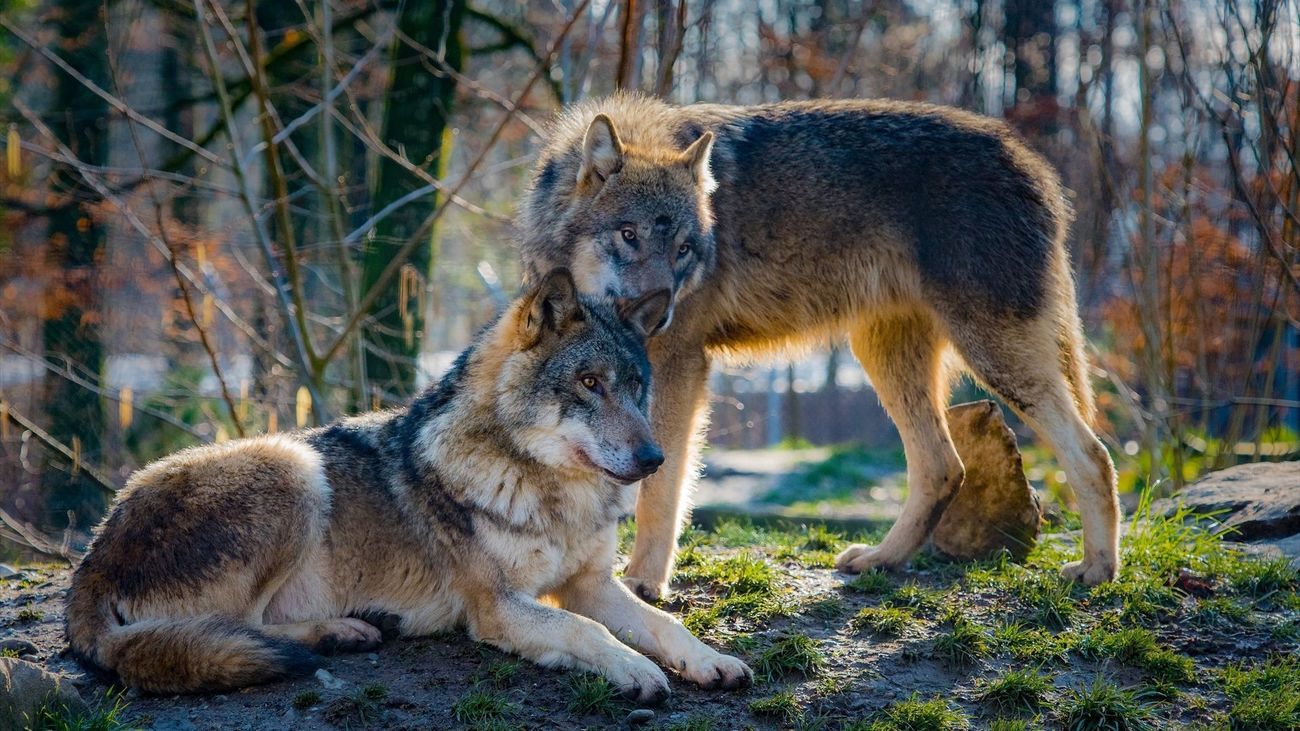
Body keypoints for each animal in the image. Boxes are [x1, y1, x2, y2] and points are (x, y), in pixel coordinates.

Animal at [64, 269, 752, 697]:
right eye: (588, 383)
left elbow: (663, 624)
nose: (654, 457)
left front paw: (710, 660)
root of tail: (93, 555)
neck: (551, 493)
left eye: (635, 386)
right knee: (238, 628)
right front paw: (636, 671)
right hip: (294, 467)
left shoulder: (589, 583)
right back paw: (340, 631)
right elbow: (589, 632)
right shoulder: (496, 607)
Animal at [518, 95, 1120, 601]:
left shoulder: (678, 365)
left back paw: (1097, 570)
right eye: (629, 235)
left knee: (1092, 454)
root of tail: (1034, 164)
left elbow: (660, 486)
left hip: (993, 357)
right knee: (944, 467)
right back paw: (881, 560)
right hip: (886, 357)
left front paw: (643, 582)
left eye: (685, 249)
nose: (660, 313)